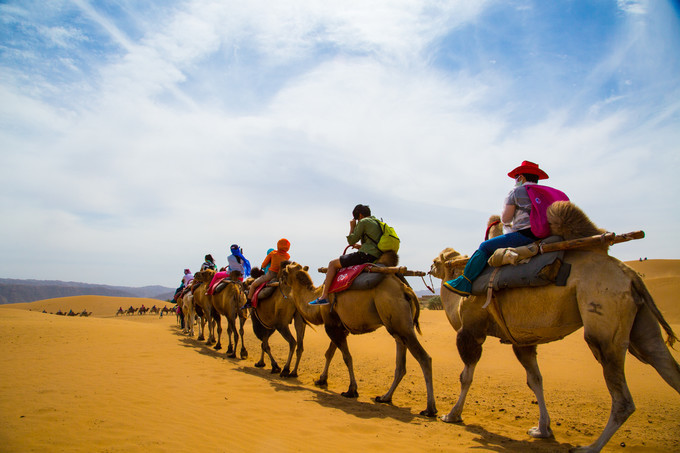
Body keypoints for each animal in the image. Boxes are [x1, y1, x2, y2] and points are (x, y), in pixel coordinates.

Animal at [278, 252, 438, 414]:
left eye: (284, 272)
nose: (279, 281)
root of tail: (406, 290)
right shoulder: (339, 327)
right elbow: (329, 353)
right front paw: (322, 379)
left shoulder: (331, 326)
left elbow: (347, 357)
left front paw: (351, 390)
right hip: (397, 326)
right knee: (401, 363)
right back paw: (385, 397)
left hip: (399, 320)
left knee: (424, 358)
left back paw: (430, 409)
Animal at [430, 202, 680, 452]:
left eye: (437, 261)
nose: (430, 268)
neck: (457, 299)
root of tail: (630, 275)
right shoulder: (522, 340)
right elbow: (535, 381)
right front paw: (542, 429)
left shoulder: (471, 331)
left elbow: (466, 376)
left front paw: (452, 415)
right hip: (642, 323)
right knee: (664, 362)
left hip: (604, 316)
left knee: (622, 396)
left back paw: (590, 447)